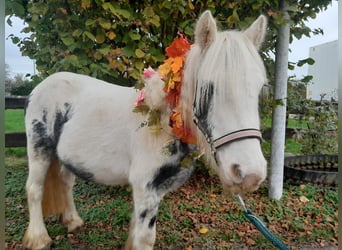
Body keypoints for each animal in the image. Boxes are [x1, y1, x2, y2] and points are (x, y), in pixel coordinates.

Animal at [22, 10, 268, 249]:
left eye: (260, 89)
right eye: (208, 88)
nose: (249, 174)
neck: (165, 123)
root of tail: (41, 87)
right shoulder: (146, 190)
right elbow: (145, 238)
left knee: (65, 182)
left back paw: (72, 221)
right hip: (39, 150)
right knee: (34, 189)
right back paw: (38, 238)